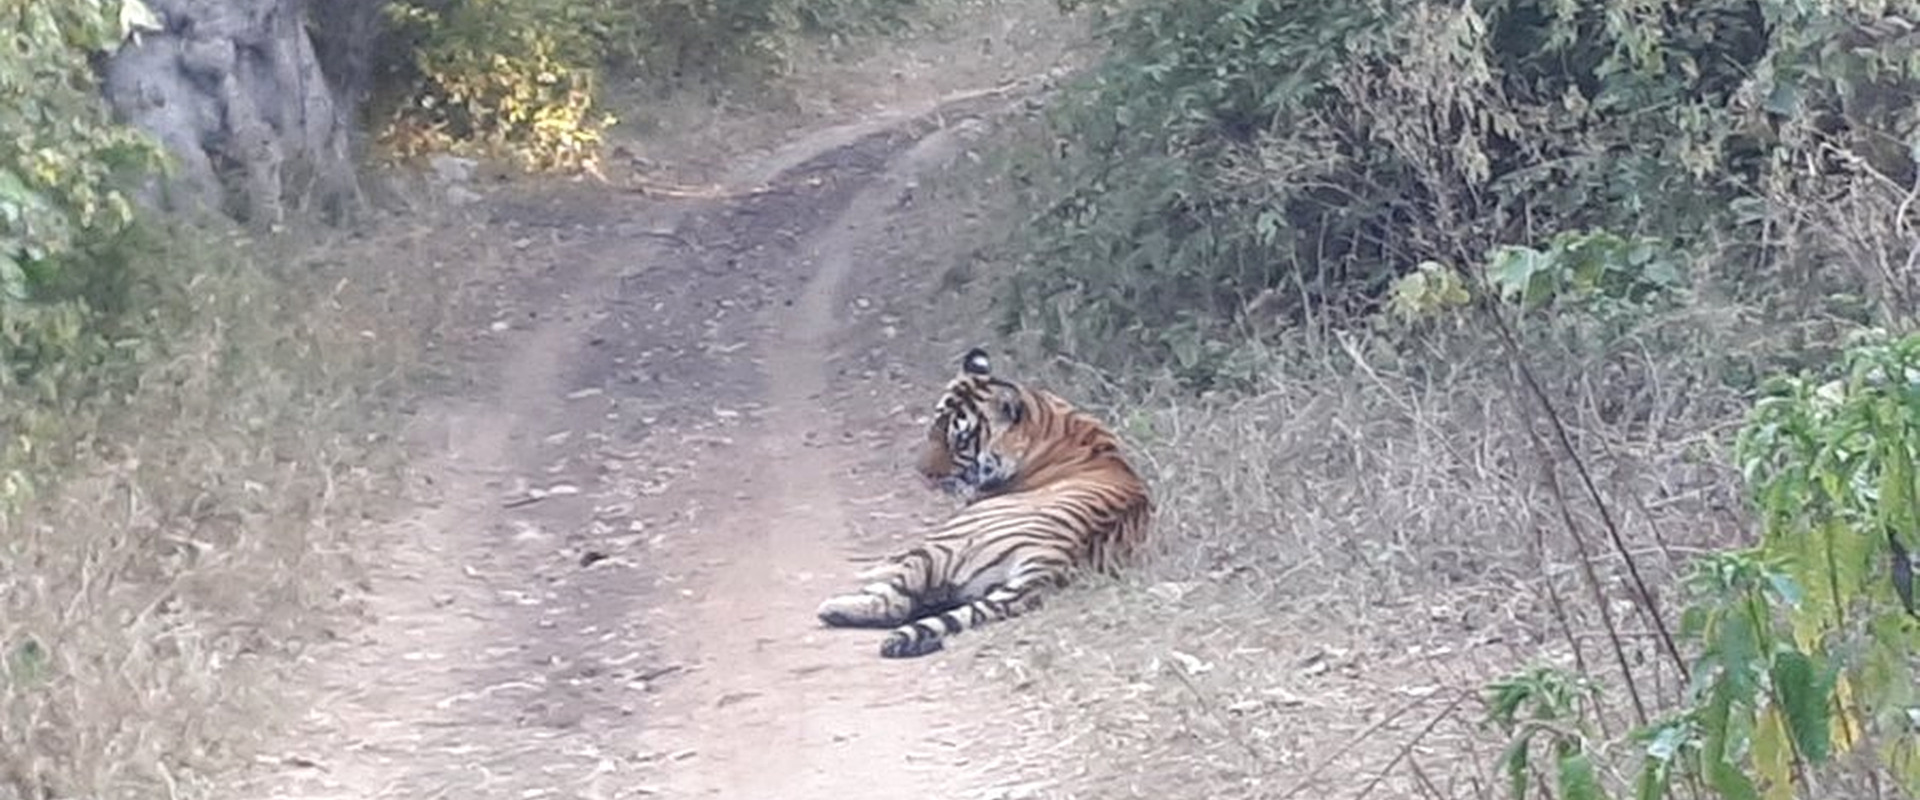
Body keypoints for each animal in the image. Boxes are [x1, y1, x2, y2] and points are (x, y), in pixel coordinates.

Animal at [815, 347, 1154, 658]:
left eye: (960, 440)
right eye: (933, 428)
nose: (922, 473)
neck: (1047, 420)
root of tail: (1053, 558)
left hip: (945, 541)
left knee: (894, 599)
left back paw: (835, 604)